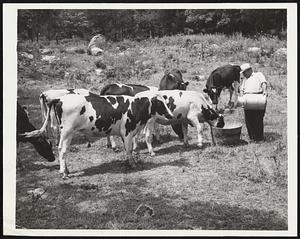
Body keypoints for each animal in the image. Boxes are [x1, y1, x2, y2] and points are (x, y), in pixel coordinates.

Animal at [24, 91, 173, 177]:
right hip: (67, 131)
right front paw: (132, 164)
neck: (135, 106)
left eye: (165, 102)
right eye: (159, 103)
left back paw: (66, 170)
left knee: (60, 148)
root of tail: (59, 99)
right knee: (62, 149)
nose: (171, 115)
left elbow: (127, 149)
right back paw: (63, 173)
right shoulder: (127, 132)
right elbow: (129, 150)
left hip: (63, 131)